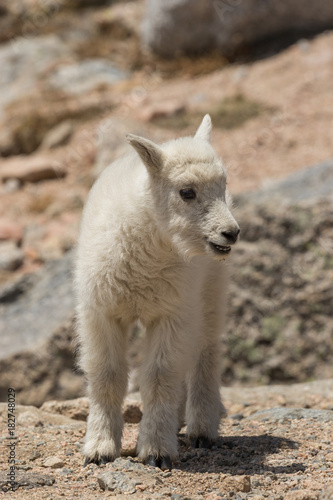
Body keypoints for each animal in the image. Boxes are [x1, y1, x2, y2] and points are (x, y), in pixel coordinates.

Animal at [75, 115, 239, 470]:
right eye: (187, 192)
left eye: (223, 185)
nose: (231, 233)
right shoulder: (102, 312)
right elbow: (107, 374)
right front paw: (99, 449)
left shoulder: (171, 313)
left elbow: (159, 375)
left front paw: (156, 451)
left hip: (210, 290)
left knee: (205, 352)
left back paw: (202, 429)